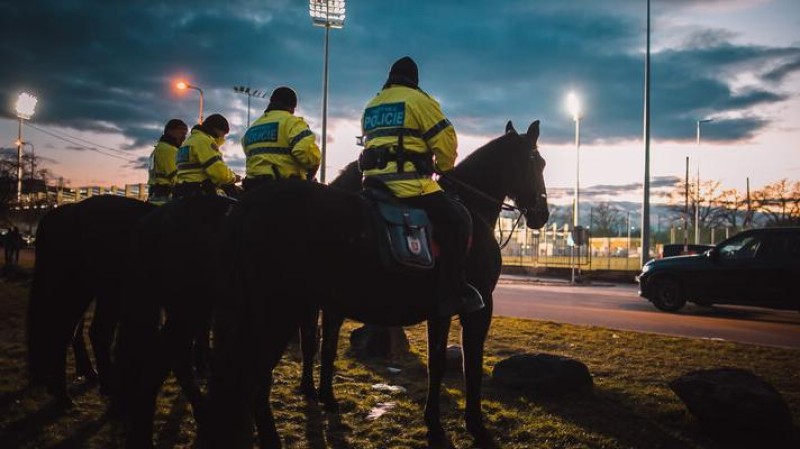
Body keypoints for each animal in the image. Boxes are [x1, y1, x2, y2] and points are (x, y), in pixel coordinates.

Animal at [28, 196, 156, 402]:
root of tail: (71, 210)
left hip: (83, 290)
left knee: (71, 329)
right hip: (100, 291)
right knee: (88, 331)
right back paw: (70, 391)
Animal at [208, 120, 552, 448]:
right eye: (539, 162)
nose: (542, 214)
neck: (472, 206)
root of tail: (249, 205)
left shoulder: (439, 311)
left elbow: (436, 364)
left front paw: (434, 425)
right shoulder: (478, 309)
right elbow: (473, 367)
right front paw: (476, 428)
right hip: (278, 310)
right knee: (255, 376)